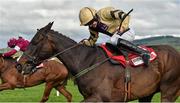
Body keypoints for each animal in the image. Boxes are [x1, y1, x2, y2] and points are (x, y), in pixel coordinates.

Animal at [16, 22, 179, 102]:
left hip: (168, 92)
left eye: (35, 41)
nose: (19, 64)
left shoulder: (100, 97)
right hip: (146, 94)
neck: (86, 61)